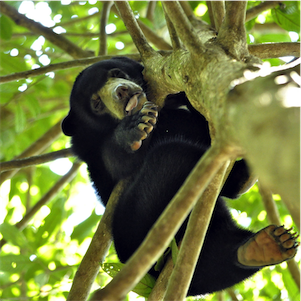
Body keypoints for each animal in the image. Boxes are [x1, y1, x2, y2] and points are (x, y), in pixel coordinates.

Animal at [62, 56, 296, 296]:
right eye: (96, 103)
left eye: (117, 73)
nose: (122, 91)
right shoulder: (93, 152)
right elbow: (117, 163)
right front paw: (135, 128)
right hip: (135, 224)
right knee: (172, 154)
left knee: (215, 260)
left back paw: (266, 244)